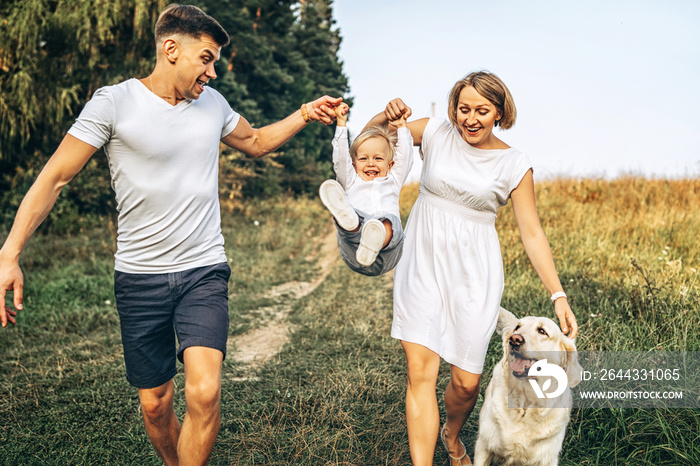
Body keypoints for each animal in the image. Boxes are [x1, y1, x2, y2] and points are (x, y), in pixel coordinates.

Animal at [474, 308, 584, 464]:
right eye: (517, 327)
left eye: (542, 331)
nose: (514, 339)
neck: (526, 401)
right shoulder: (484, 446)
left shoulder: (547, 457)